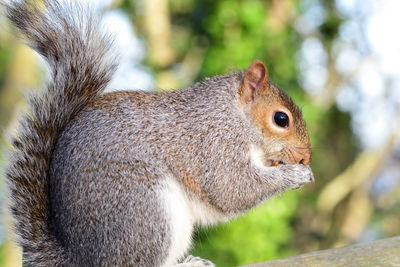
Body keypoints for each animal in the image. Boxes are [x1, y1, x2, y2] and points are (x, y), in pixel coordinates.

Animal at [4, 1, 314, 266]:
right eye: (281, 119)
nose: (306, 156)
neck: (234, 115)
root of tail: (79, 259)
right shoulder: (214, 143)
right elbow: (231, 189)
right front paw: (296, 175)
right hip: (147, 210)